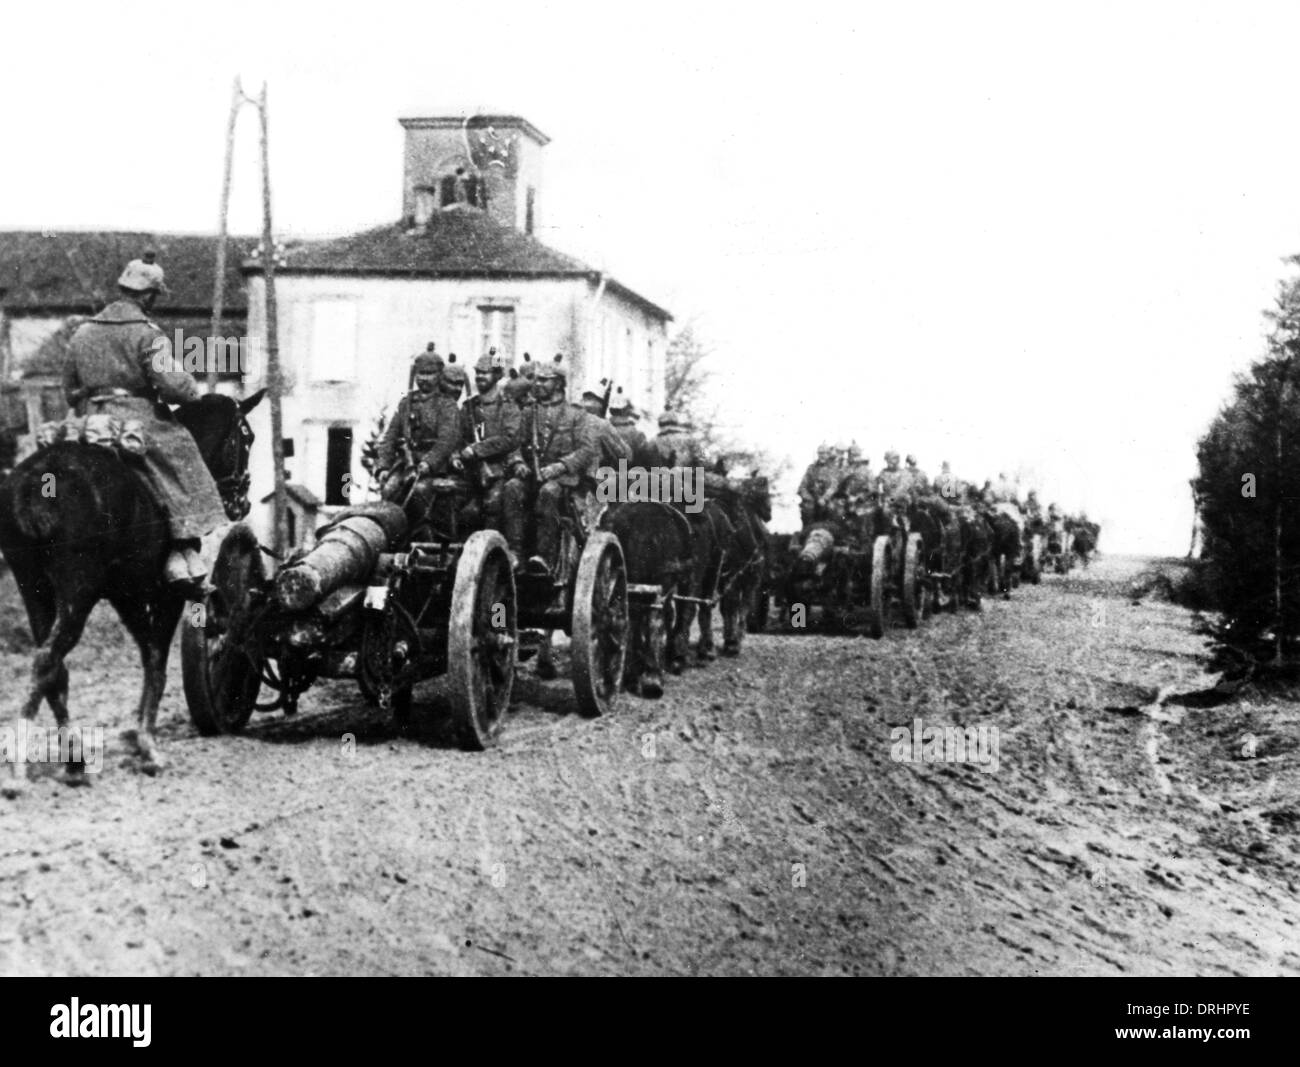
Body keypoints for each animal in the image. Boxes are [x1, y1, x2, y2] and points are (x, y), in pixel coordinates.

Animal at [0, 387, 263, 784]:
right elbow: (156, 659)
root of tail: (34, 483)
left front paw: (139, 737)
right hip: (77, 594)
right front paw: (148, 744)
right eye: (246, 437)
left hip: (35, 590)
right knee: (47, 660)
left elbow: (147, 653)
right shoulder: (166, 594)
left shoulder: (127, 597)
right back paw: (20, 768)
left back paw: (74, 758)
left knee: (53, 667)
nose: (241, 503)